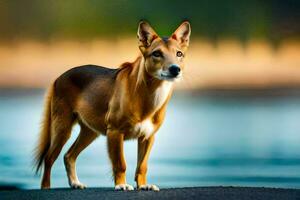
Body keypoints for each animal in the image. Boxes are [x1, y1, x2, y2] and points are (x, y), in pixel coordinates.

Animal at [34, 20, 191, 191]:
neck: (149, 95)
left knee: (69, 155)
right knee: (49, 158)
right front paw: (121, 185)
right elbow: (120, 164)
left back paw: (75, 183)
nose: (175, 69)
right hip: (62, 128)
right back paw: (46, 187)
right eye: (157, 54)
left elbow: (142, 166)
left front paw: (143, 185)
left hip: (90, 132)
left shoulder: (148, 136)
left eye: (179, 54)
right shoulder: (115, 132)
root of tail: (59, 77)